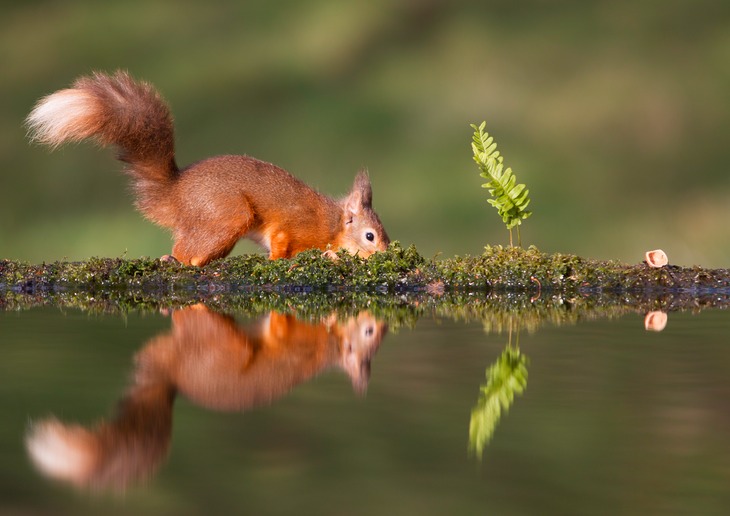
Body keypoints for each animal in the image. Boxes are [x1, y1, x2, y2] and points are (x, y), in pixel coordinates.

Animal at [25, 71, 390, 266]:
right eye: (370, 236)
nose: (387, 254)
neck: (334, 224)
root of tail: (175, 195)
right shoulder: (294, 226)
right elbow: (281, 245)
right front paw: (309, 258)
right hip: (226, 215)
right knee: (185, 253)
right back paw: (185, 260)